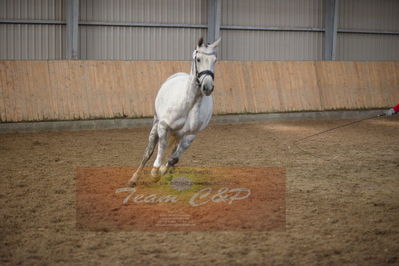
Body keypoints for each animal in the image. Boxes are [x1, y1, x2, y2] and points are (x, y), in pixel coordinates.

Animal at [128, 37, 220, 187]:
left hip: (179, 134)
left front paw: (162, 171)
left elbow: (174, 159)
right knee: (149, 151)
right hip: (156, 123)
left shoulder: (190, 135)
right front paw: (155, 173)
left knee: (172, 153)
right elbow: (161, 148)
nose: (208, 87)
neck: (189, 105)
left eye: (215, 60)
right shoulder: (163, 126)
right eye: (198, 59)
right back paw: (133, 179)